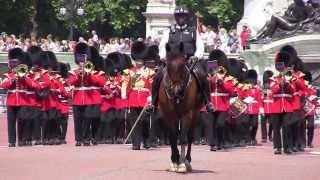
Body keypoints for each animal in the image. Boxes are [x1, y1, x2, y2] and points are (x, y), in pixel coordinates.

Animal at [158, 43, 201, 174]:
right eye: (168, 64)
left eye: (182, 64)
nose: (177, 91)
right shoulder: (168, 114)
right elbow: (173, 137)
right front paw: (174, 161)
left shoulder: (187, 114)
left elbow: (182, 138)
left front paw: (181, 163)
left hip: (195, 114)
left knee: (190, 136)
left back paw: (187, 160)